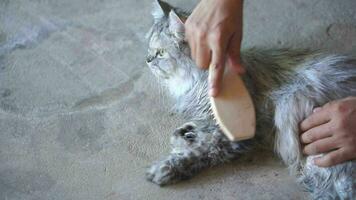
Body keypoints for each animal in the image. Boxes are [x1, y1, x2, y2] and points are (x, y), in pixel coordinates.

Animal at [145, 1, 356, 198]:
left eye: (161, 53)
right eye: (149, 48)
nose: (147, 60)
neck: (195, 82)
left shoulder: (239, 135)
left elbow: (201, 152)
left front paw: (166, 169)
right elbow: (198, 134)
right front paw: (186, 134)